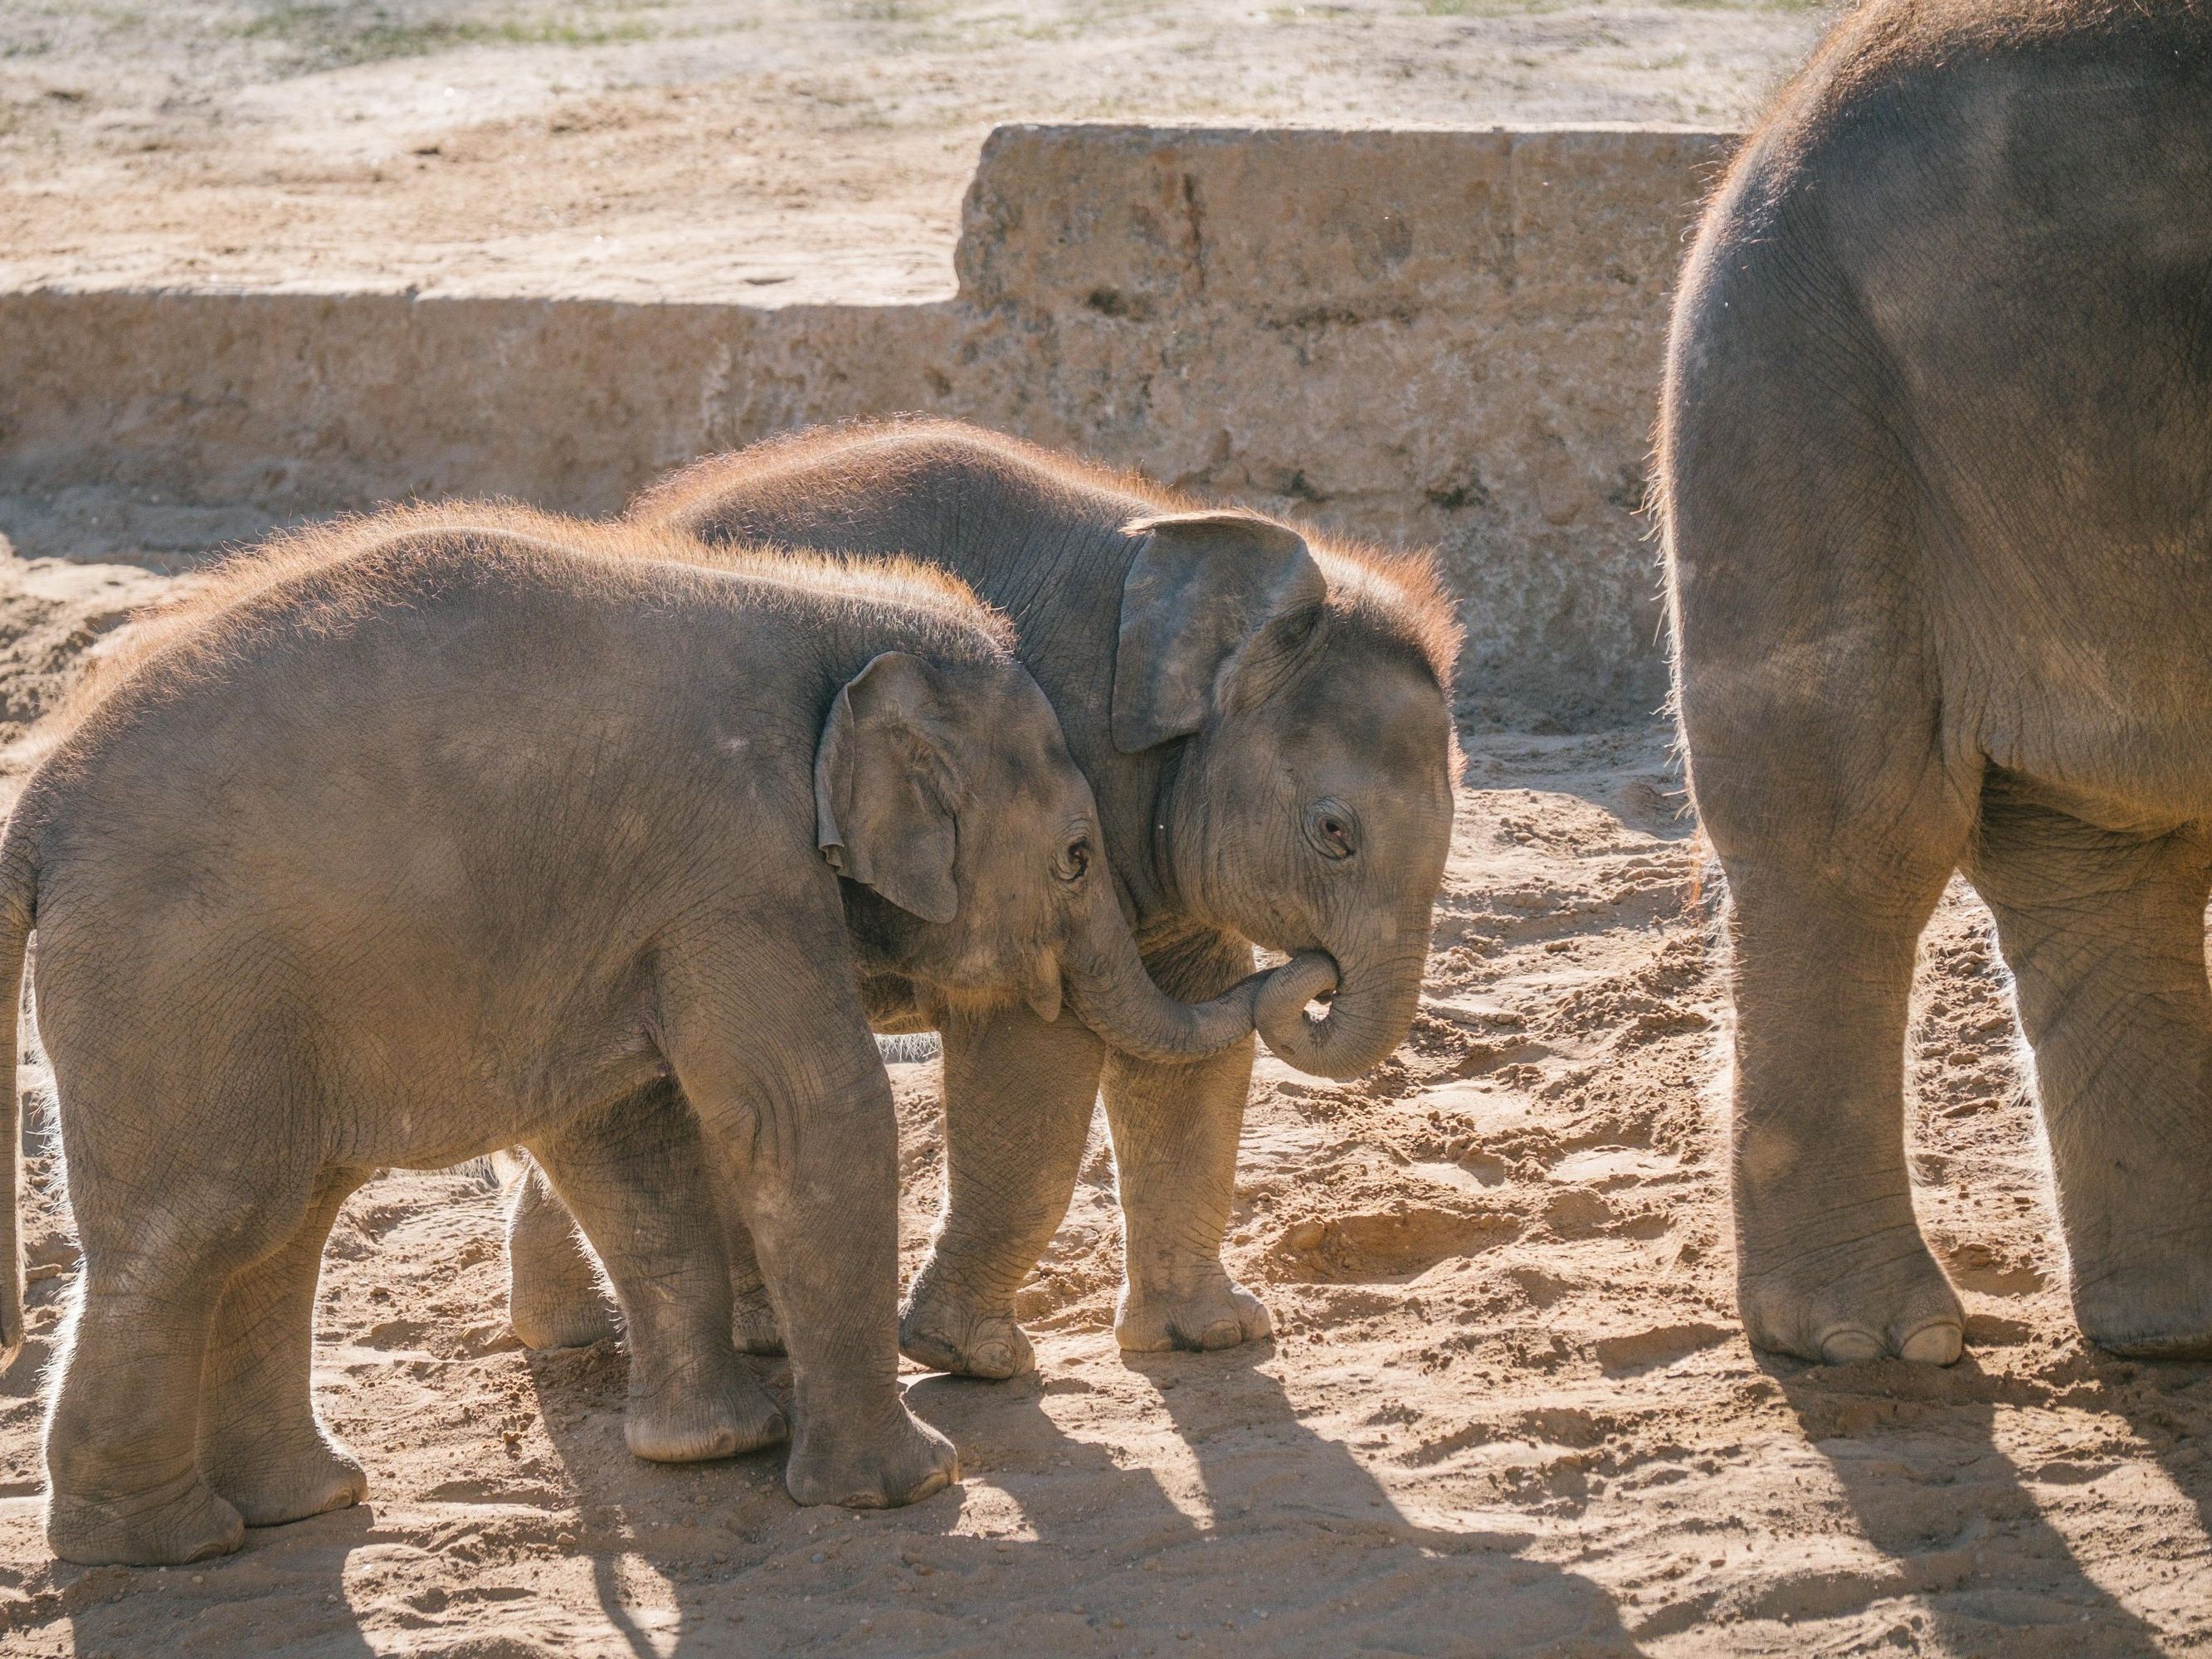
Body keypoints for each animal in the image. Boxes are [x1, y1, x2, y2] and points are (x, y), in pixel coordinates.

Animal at [4, 511, 1327, 1574]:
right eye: (1072, 858)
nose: (1312, 974)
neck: (829, 620)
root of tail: (35, 811)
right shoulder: (734, 862)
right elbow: (807, 1113)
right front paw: (910, 1485)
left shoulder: (634, 913)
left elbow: (627, 1130)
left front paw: (713, 1447)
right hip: (174, 987)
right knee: (203, 1226)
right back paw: (162, 1548)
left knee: (285, 1224)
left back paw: (304, 1503)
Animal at [509, 418, 1459, 1380]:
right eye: (1333, 831)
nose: (1313, 972)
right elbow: (1035, 1055)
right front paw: (972, 1357)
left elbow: (1188, 1047)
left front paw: (1214, 1336)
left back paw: (569, 1332)